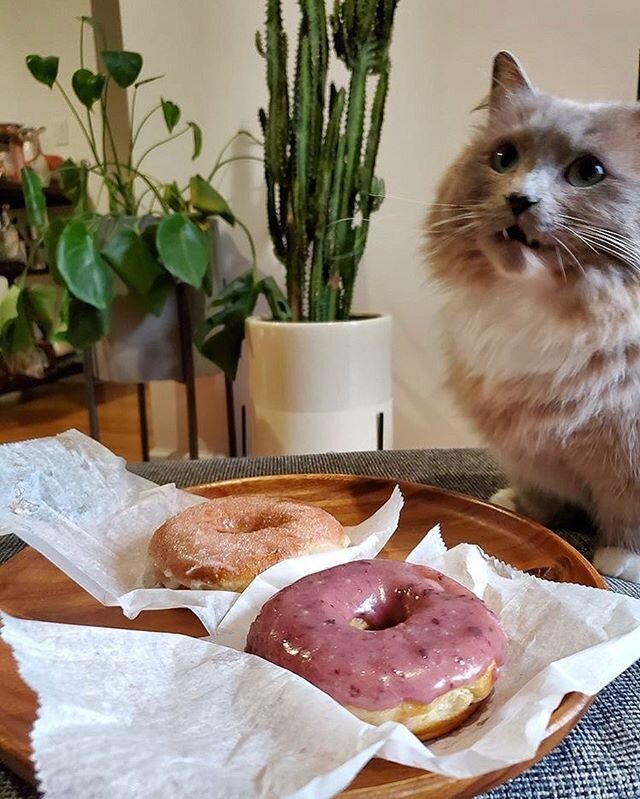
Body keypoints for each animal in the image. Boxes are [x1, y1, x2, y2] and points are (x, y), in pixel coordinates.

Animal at [424, 53, 640, 584]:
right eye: (504, 159)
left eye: (589, 172)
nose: (519, 199)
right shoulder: (531, 447)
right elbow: (542, 497)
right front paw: (518, 508)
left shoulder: (624, 457)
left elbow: (625, 516)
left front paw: (618, 560)